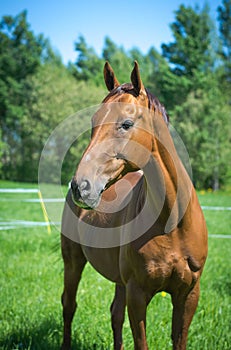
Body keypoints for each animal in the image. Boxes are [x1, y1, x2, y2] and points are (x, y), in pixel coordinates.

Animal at [61, 61, 208, 348]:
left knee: (114, 314)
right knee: (68, 306)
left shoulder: (188, 294)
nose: (80, 186)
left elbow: (179, 338)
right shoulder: (138, 294)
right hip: (73, 262)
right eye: (93, 122)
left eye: (126, 124)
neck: (173, 223)